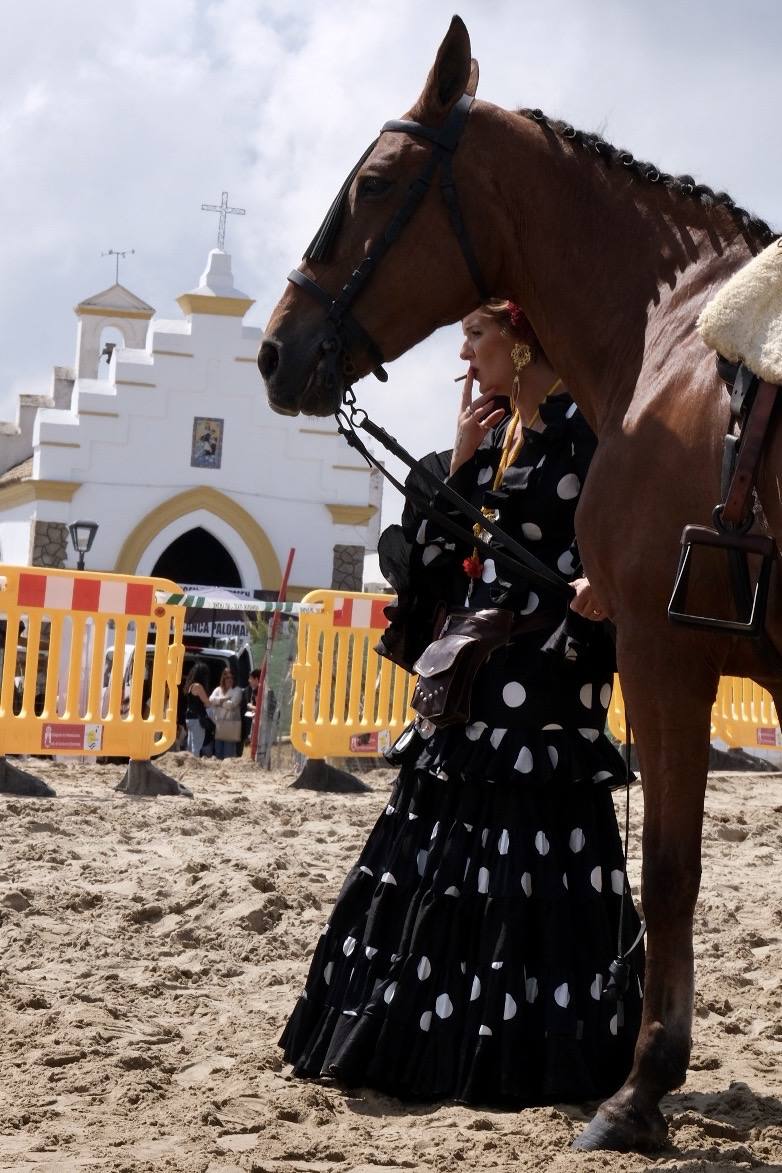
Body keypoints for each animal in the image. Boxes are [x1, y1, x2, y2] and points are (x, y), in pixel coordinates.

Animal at [260, 16, 778, 1154]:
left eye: (373, 184)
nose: (276, 350)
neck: (680, 343)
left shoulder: (664, 652)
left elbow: (670, 871)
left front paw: (638, 1089)